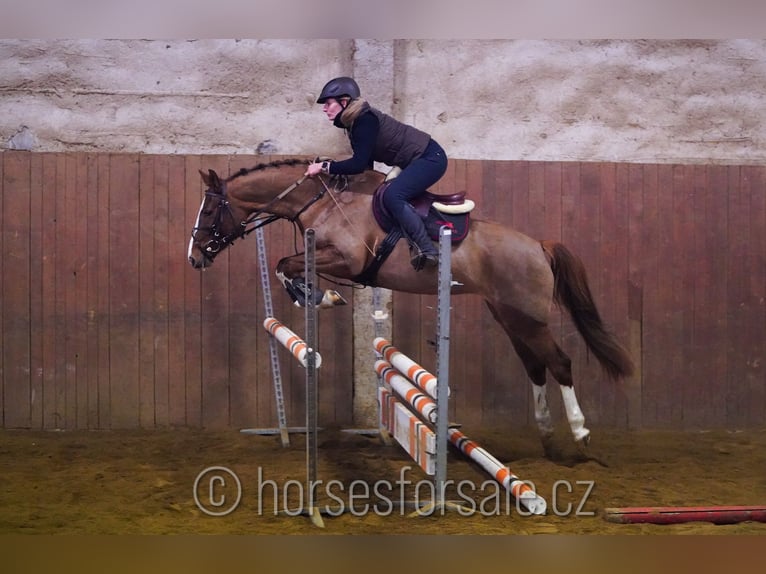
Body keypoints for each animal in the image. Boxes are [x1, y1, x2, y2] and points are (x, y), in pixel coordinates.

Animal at [188, 156, 636, 450]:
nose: (194, 257)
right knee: (535, 365)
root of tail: (539, 246)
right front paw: (317, 295)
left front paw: (319, 295)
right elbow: (286, 266)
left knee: (559, 362)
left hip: (528, 319)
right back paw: (545, 431)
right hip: (509, 317)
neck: (321, 200)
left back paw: (579, 432)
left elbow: (286, 264)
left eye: (209, 210)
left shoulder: (350, 260)